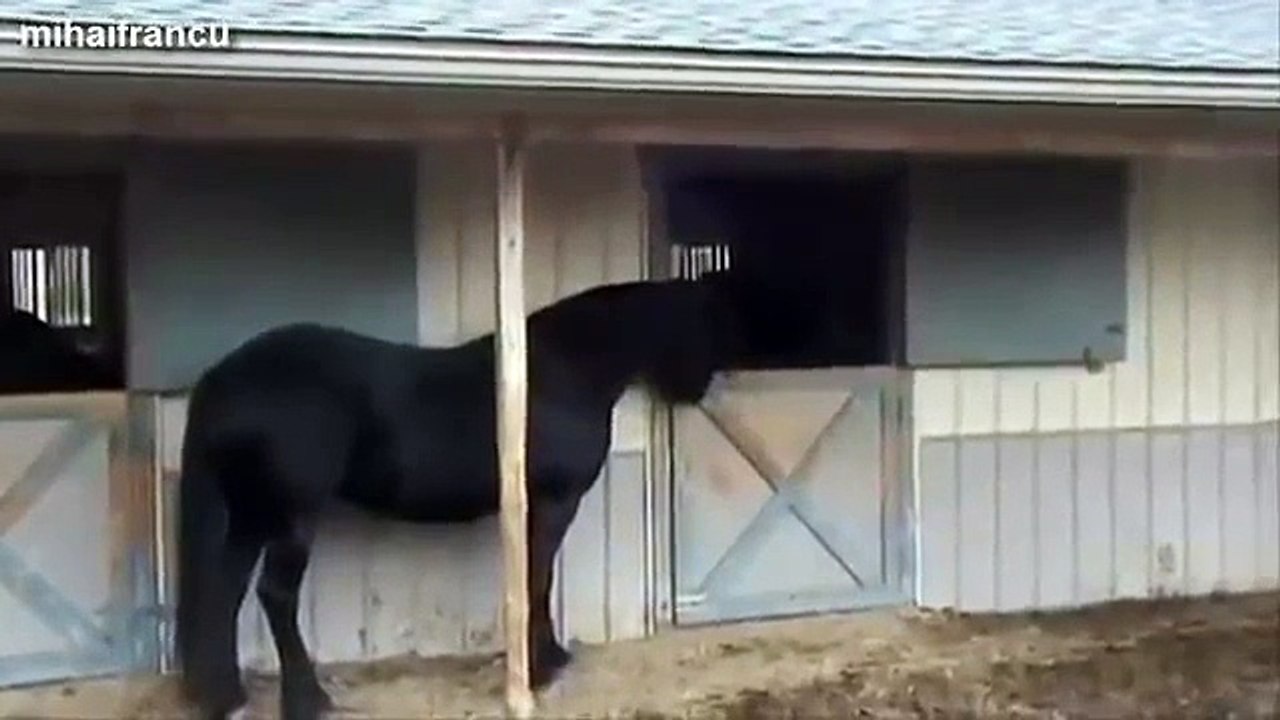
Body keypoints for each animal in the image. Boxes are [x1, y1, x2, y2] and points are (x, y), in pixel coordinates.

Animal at [173, 274, 752, 720]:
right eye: (699, 324)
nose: (698, 390)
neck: (562, 369)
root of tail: (223, 377)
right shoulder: (553, 502)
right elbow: (536, 578)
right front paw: (543, 667)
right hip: (291, 513)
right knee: (275, 595)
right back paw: (308, 700)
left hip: (252, 514)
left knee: (225, 591)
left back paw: (229, 697)